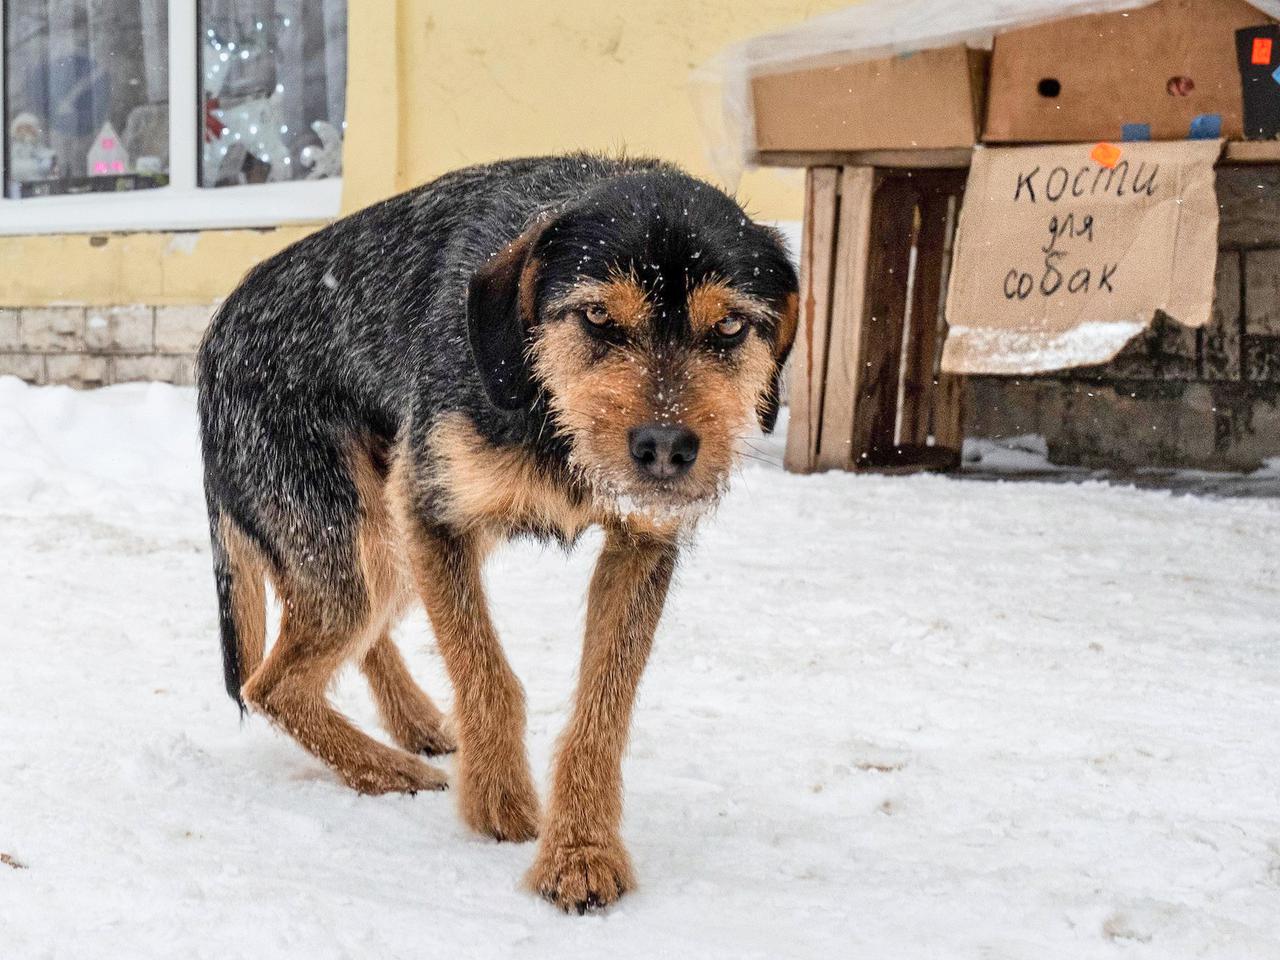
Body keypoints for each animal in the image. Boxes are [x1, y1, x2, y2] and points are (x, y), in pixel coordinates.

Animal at [194, 154, 793, 911]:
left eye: (730, 329)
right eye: (598, 316)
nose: (665, 448)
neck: (549, 413)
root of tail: (215, 334)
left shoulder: (640, 544)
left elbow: (603, 709)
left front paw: (581, 850)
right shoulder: (433, 514)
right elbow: (485, 673)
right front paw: (498, 802)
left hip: (383, 547)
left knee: (342, 646)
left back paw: (414, 726)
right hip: (354, 535)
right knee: (271, 685)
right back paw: (387, 770)